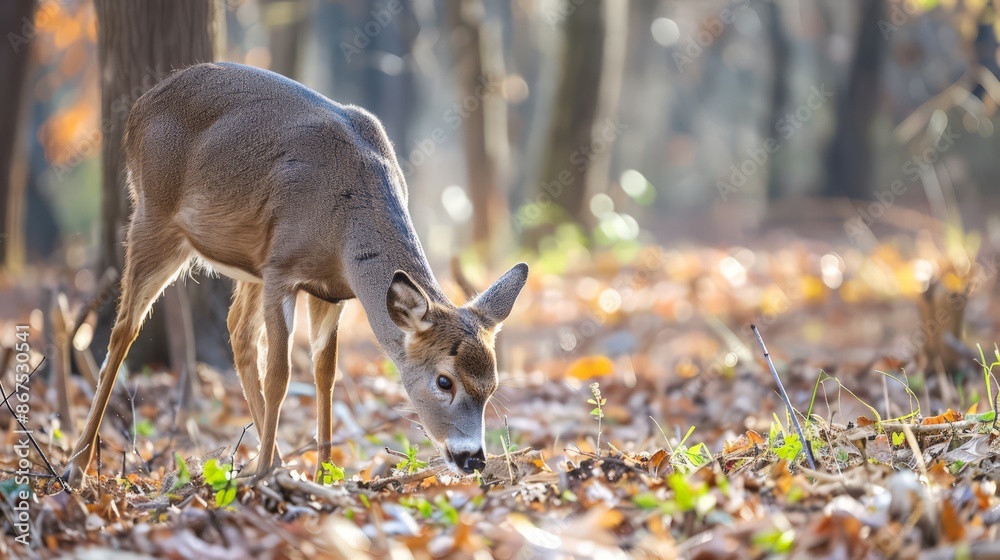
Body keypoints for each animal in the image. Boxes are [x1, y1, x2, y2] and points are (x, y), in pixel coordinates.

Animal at [64, 62, 532, 490]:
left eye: (492, 387)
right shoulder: (282, 271)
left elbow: (325, 375)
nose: (472, 458)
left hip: (247, 260)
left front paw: (323, 474)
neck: (343, 225)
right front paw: (267, 474)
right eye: (443, 380)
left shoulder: (331, 292)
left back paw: (277, 463)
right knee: (124, 329)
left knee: (237, 332)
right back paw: (77, 466)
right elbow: (281, 375)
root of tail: (137, 109)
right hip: (155, 217)